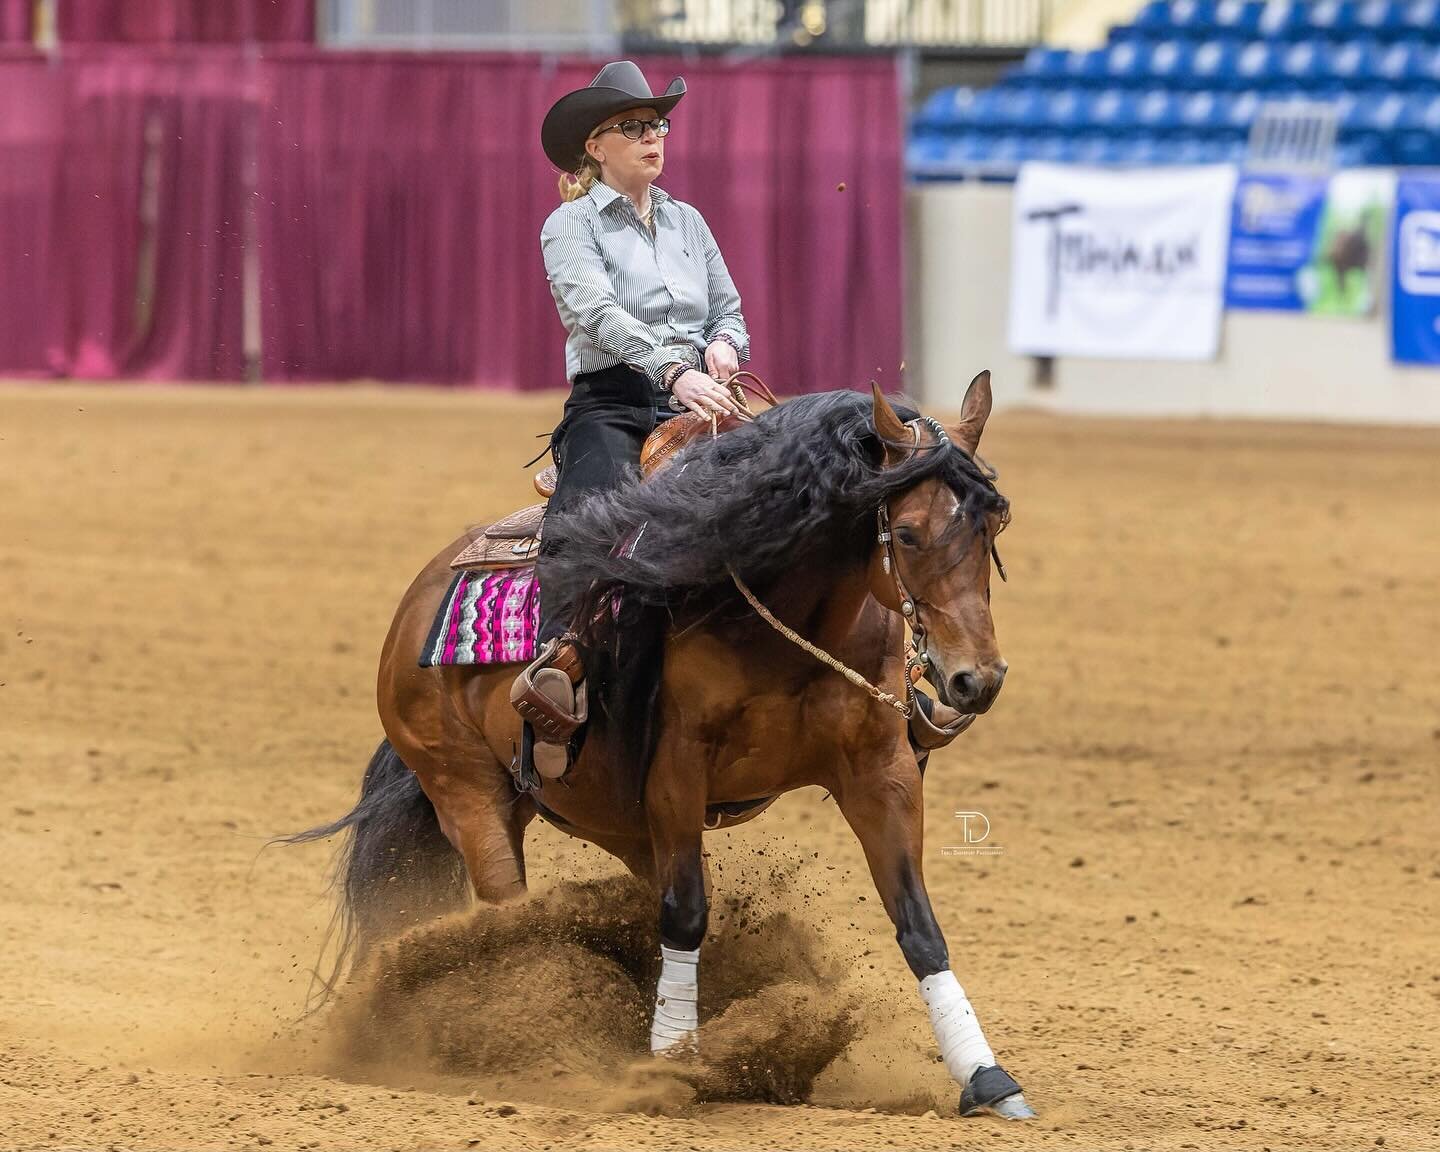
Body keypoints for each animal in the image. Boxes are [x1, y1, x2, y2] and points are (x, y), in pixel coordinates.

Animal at [298, 371, 1031, 1117]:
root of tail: (419, 597)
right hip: (466, 791)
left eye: (994, 524)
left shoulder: (880, 772)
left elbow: (919, 925)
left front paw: (986, 1078)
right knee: (507, 909)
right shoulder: (677, 772)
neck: (784, 616)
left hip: (607, 817)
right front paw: (674, 1063)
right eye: (907, 533)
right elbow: (685, 915)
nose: (977, 679)